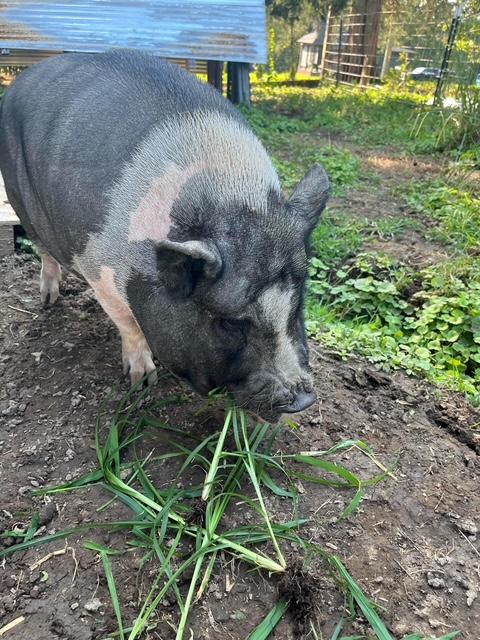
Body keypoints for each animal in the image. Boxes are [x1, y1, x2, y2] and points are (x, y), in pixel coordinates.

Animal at [0, 51, 329, 417]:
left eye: (297, 304)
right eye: (229, 322)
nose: (302, 399)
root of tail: (23, 78)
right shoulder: (97, 266)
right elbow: (128, 325)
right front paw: (143, 382)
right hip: (18, 197)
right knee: (43, 250)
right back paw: (48, 300)